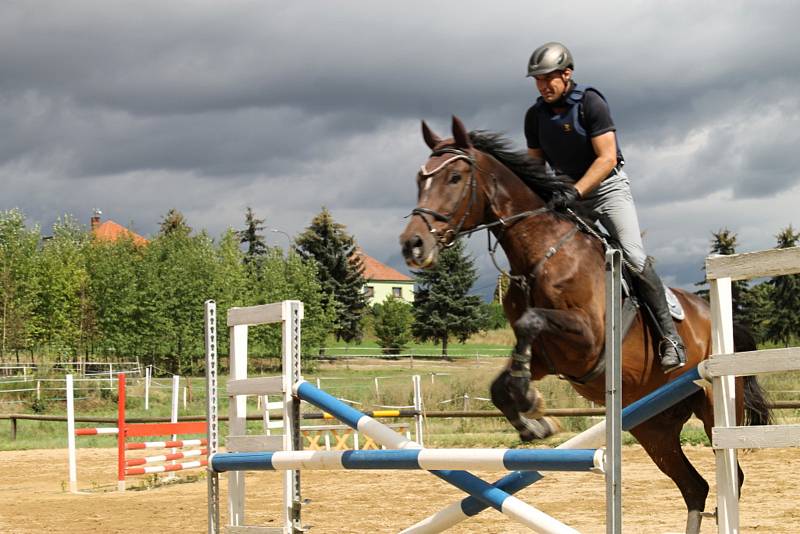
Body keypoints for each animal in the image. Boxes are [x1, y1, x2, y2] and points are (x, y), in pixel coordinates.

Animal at [396, 115, 772, 532]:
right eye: (419, 179)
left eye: (455, 178)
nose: (413, 244)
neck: (540, 254)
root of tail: (717, 319)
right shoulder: (550, 358)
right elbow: (502, 382)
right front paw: (533, 421)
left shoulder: (588, 340)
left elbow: (529, 322)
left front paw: (529, 402)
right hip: (652, 426)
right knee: (695, 486)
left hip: (715, 405)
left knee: (730, 476)